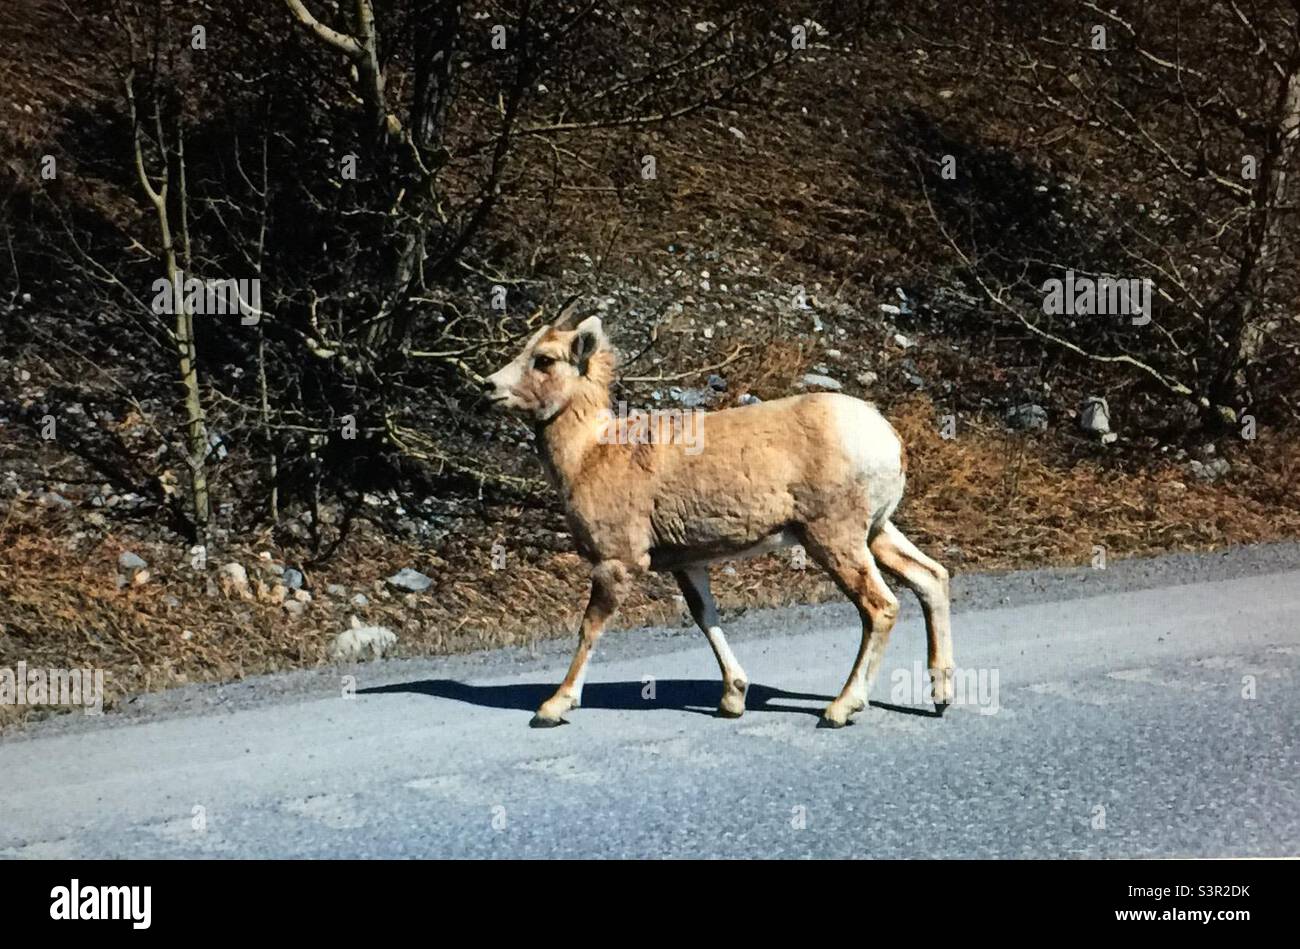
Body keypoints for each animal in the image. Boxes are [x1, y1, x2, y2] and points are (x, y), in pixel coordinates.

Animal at [482, 304, 953, 728]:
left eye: (544, 359)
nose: (489, 387)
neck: (592, 453)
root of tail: (890, 439)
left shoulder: (617, 563)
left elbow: (590, 628)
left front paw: (552, 707)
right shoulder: (688, 563)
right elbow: (705, 617)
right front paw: (732, 699)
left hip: (835, 538)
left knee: (881, 606)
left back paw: (841, 709)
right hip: (876, 531)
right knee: (931, 576)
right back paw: (940, 697)